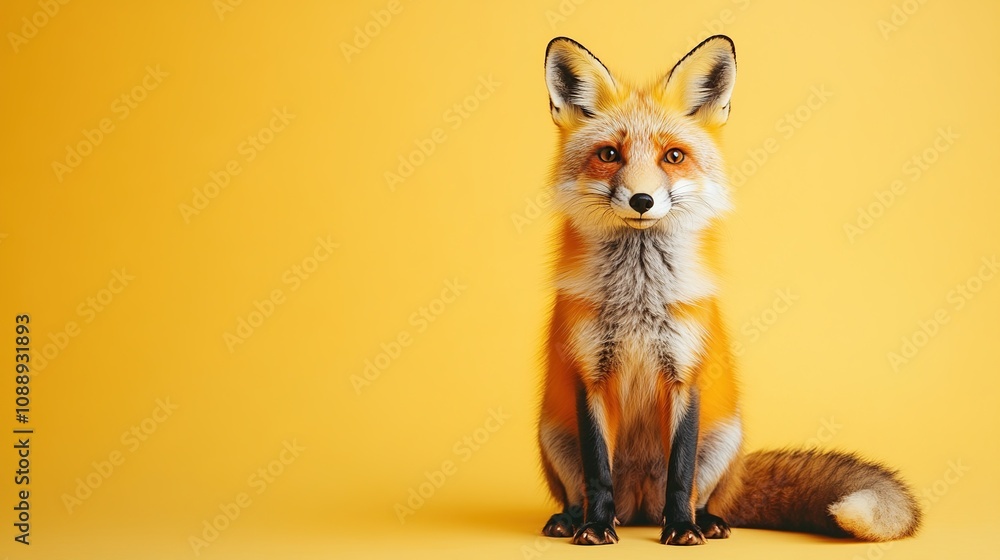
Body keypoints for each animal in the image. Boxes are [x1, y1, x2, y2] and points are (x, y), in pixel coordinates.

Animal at [537, 35, 922, 546]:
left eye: (673, 156)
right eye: (608, 155)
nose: (642, 200)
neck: (640, 297)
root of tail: (639, 506)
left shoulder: (687, 375)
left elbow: (681, 473)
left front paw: (682, 529)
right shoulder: (590, 378)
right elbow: (598, 470)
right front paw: (596, 528)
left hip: (723, 440)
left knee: (703, 496)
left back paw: (704, 521)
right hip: (554, 435)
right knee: (580, 489)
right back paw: (576, 518)